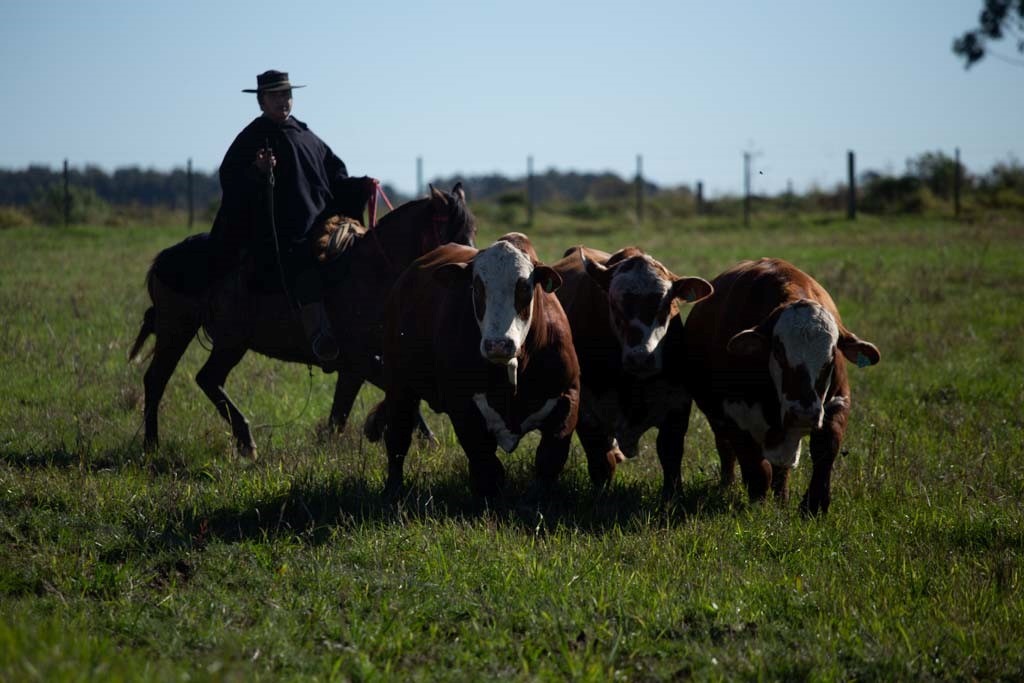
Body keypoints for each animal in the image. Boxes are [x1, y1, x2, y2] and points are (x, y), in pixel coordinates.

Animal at [130, 184, 477, 456]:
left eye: (472, 232)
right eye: (452, 233)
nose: (468, 269)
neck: (370, 272)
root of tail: (165, 259)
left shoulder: (356, 366)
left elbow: (341, 412)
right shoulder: (362, 360)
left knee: (181, 379)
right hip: (199, 335)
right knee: (178, 379)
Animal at [370, 232, 581, 499]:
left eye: (524, 287)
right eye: (478, 288)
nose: (498, 344)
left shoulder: (567, 396)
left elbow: (549, 458)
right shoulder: (463, 405)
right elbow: (486, 464)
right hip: (399, 386)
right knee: (398, 437)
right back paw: (393, 490)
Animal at [552, 245, 712, 497]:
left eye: (666, 305)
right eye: (614, 304)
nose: (641, 357)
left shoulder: (677, 405)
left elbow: (670, 455)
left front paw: (672, 497)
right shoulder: (587, 412)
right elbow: (601, 462)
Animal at [679, 259, 880, 516]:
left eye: (831, 355)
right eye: (778, 350)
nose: (803, 413)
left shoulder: (837, 402)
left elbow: (825, 450)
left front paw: (814, 504)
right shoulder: (735, 415)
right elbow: (755, 468)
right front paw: (759, 507)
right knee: (726, 449)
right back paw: (728, 485)